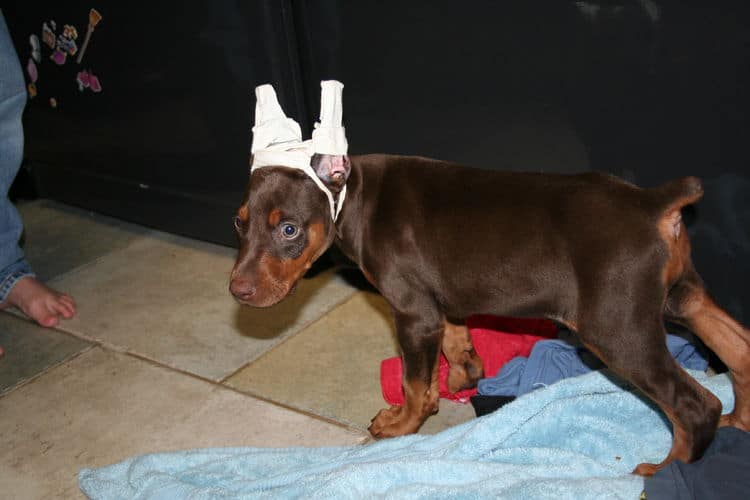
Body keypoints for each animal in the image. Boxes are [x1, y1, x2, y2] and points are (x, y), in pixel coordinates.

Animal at [229, 153, 750, 476]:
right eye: (239, 221)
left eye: (290, 229)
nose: (237, 290)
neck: (354, 195)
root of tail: (652, 202)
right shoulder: (442, 302)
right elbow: (457, 343)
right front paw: (463, 379)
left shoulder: (413, 312)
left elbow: (414, 383)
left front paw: (401, 424)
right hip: (684, 298)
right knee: (740, 354)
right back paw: (739, 424)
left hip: (617, 329)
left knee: (694, 405)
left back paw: (666, 472)